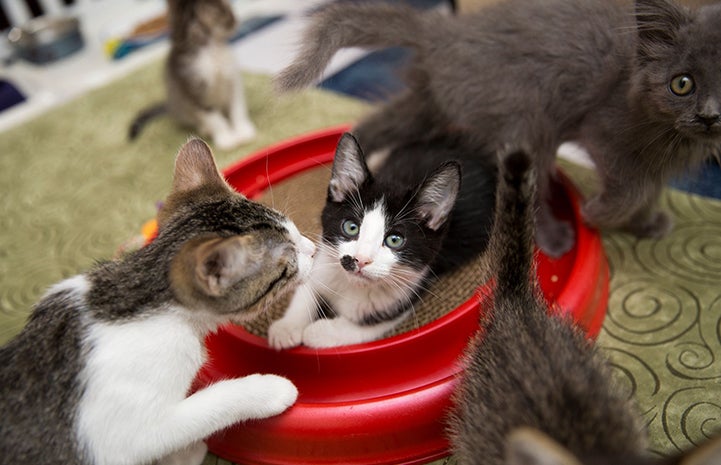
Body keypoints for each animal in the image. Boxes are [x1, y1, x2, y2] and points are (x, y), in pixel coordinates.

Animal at [0, 138, 316, 464]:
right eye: (289, 262)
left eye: (296, 232)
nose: (313, 248)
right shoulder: (129, 433)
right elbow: (207, 406)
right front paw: (271, 389)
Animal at [129, 0, 256, 149]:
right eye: (227, 11)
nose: (235, 20)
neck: (210, 49)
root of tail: (169, 105)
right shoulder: (191, 88)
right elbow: (214, 118)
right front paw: (227, 138)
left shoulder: (233, 78)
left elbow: (237, 108)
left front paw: (243, 130)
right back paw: (206, 129)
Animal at [266, 131, 496, 348]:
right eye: (351, 227)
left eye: (395, 240)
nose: (360, 259)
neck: (352, 285)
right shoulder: (325, 258)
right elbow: (308, 288)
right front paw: (287, 327)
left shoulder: (405, 294)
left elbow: (363, 328)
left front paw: (317, 332)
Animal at [278, 0, 720, 258]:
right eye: (682, 83)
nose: (710, 115)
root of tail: (445, 32)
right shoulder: (605, 128)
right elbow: (630, 189)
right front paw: (599, 213)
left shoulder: (658, 156)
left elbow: (649, 187)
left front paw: (646, 224)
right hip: (526, 116)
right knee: (529, 189)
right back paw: (555, 238)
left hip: (434, 101)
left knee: (377, 123)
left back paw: (354, 170)